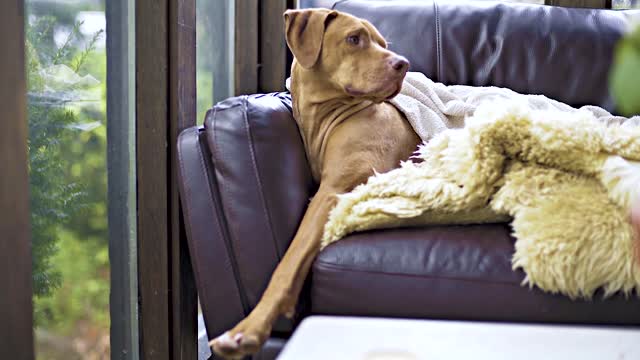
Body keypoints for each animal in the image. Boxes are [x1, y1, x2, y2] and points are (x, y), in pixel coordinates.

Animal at [210, 7, 420, 358]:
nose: (403, 64)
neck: (324, 117)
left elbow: (289, 261)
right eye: (354, 39)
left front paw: (248, 330)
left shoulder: (333, 192)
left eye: (382, 43)